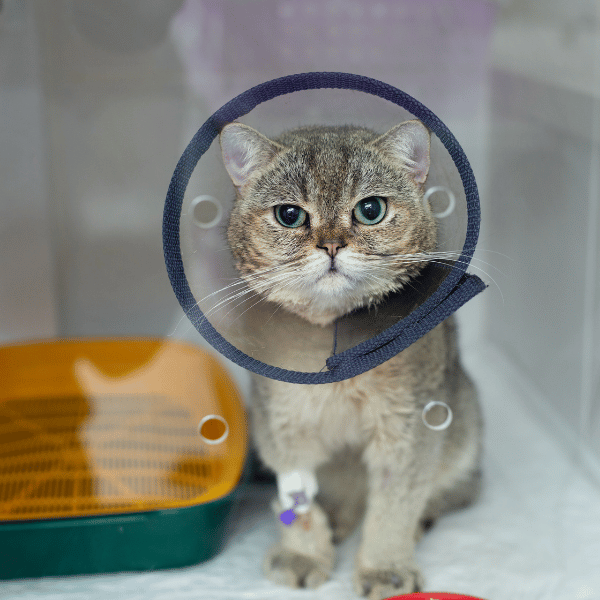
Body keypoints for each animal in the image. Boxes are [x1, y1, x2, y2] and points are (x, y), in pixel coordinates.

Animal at [220, 119, 482, 596]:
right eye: (289, 215)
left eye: (370, 210)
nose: (331, 246)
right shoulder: (283, 426)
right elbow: (297, 503)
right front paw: (305, 555)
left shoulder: (409, 430)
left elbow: (393, 508)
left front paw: (384, 568)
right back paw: (339, 522)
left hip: (463, 430)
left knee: (450, 492)